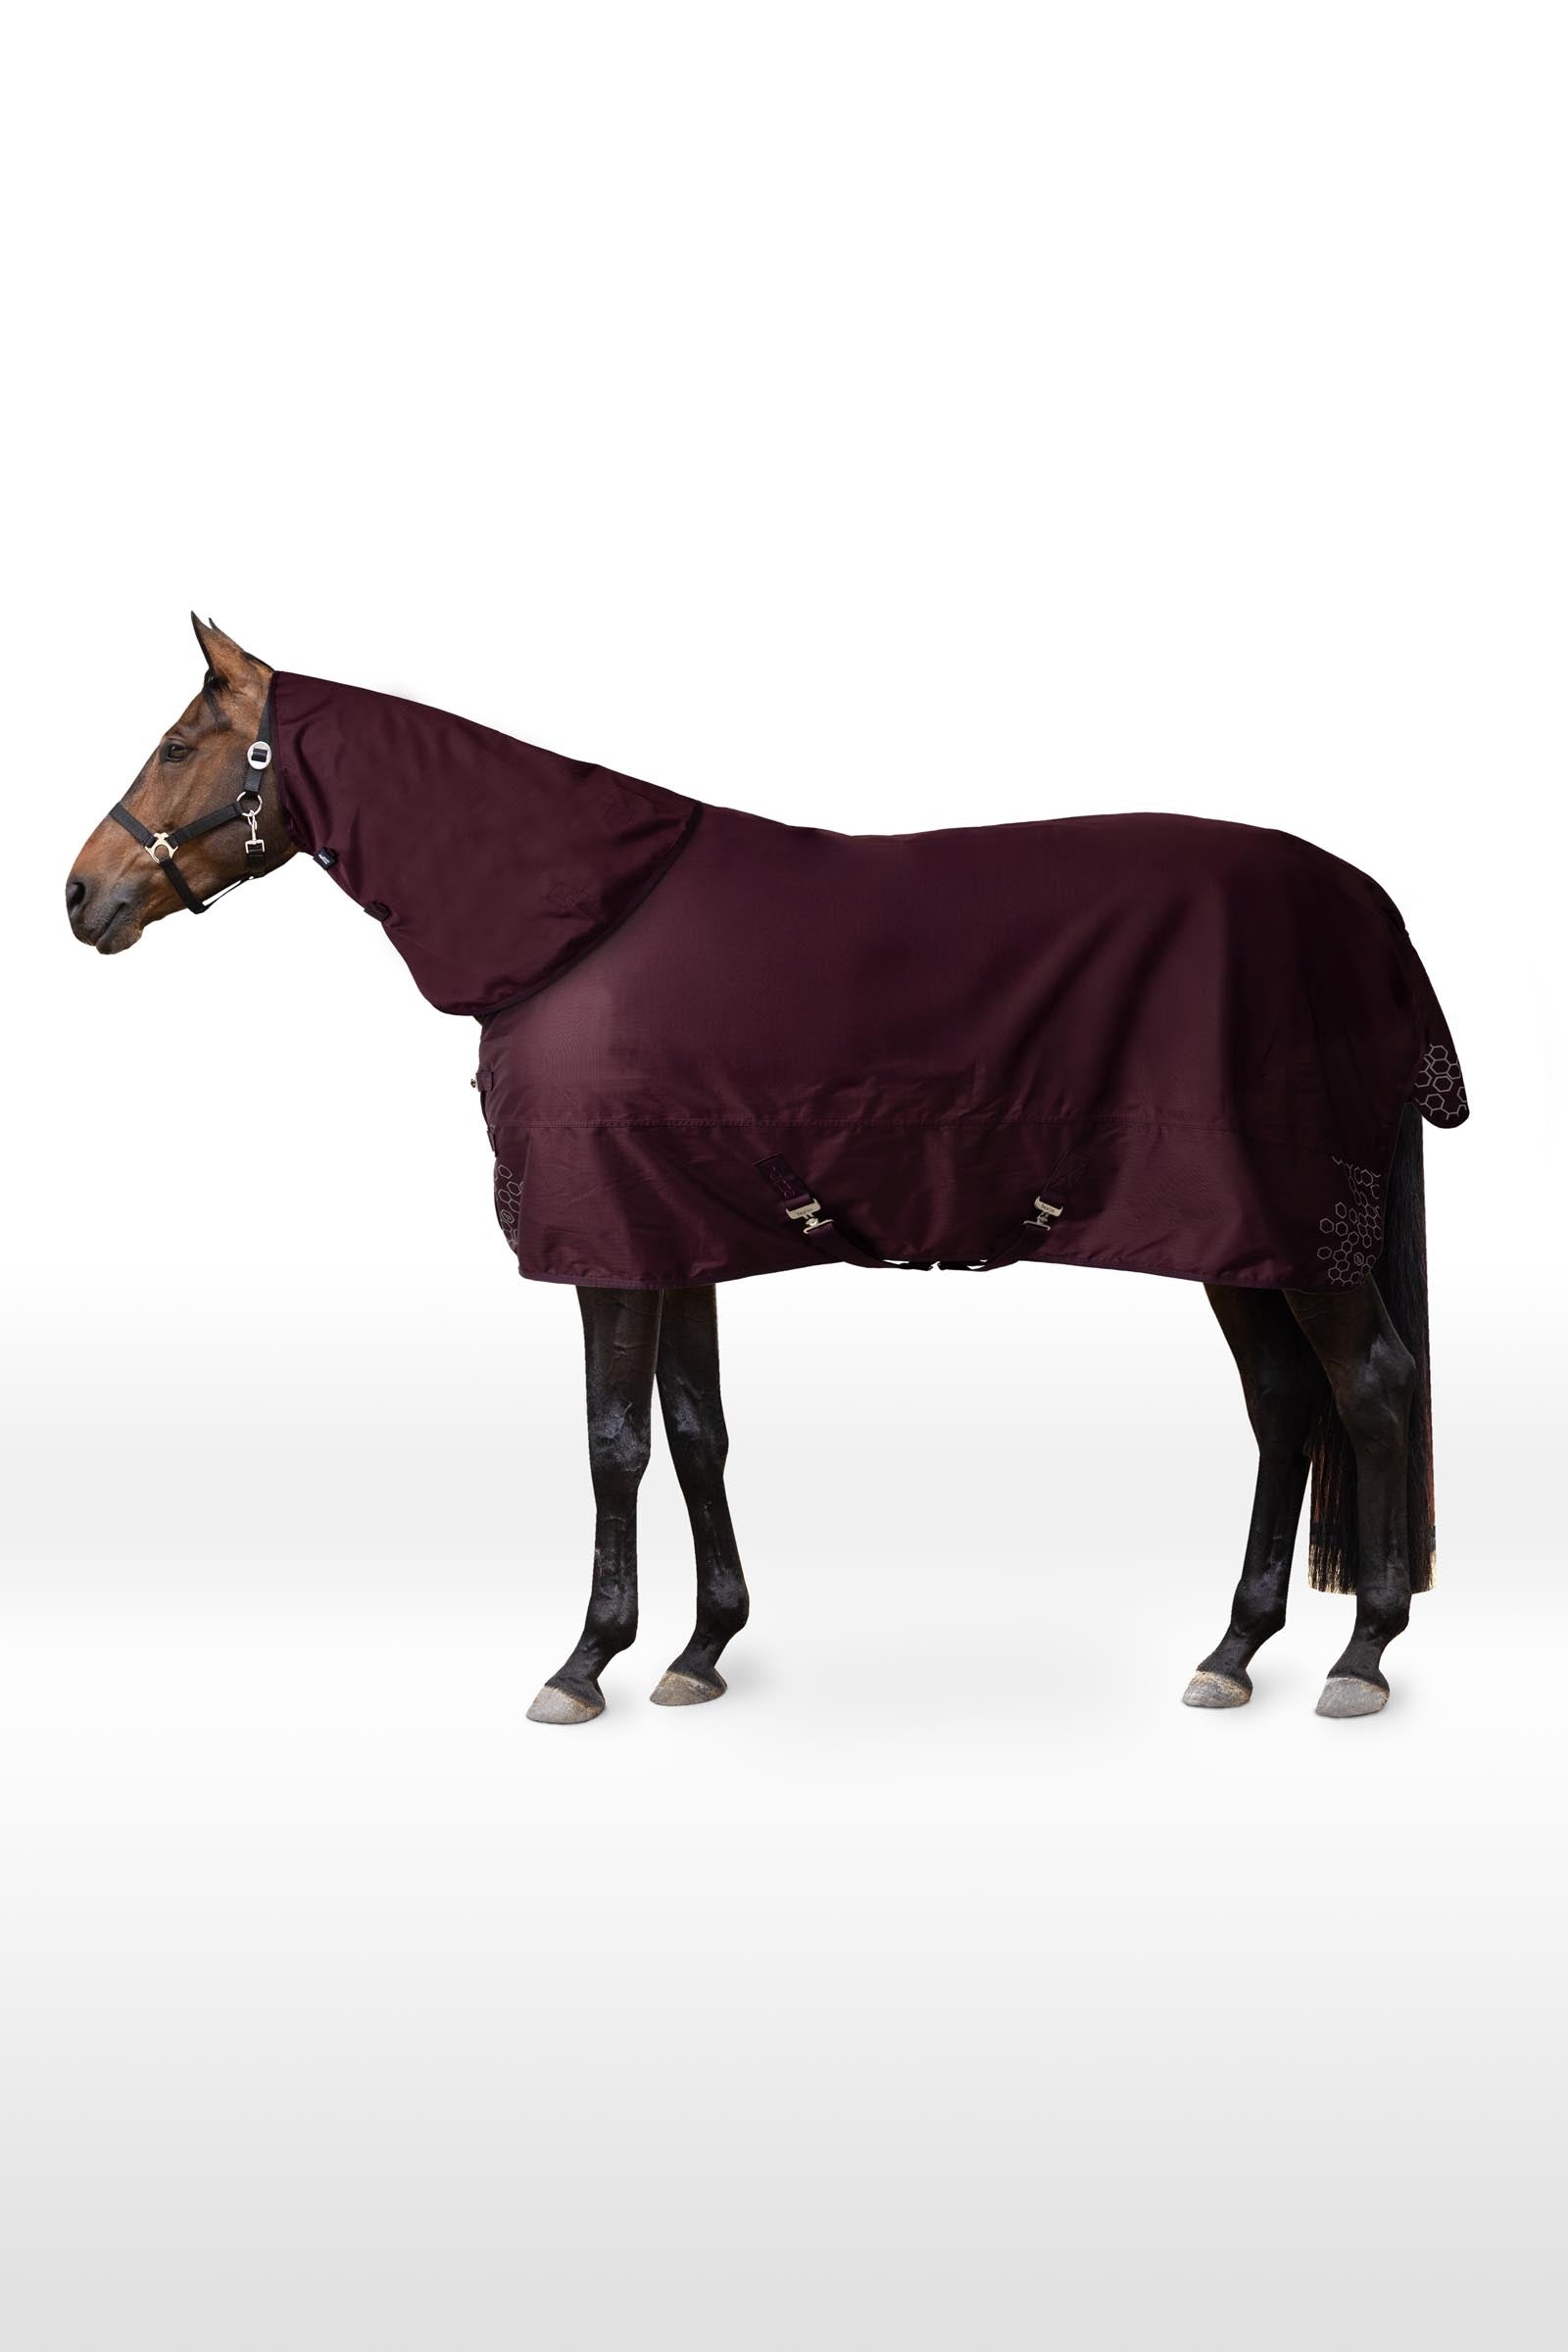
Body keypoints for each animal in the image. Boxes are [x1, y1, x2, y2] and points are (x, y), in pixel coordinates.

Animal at [66, 617, 1469, 1725]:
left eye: (180, 746)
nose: (82, 896)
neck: (582, 926)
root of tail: (1366, 913)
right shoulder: (668, 1235)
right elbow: (697, 1431)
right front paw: (701, 1649)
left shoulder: (607, 1250)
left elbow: (614, 1444)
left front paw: (585, 1662)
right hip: (1239, 1241)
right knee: (1285, 1403)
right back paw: (1234, 1649)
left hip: (1293, 1233)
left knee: (1371, 1389)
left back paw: (1361, 1654)